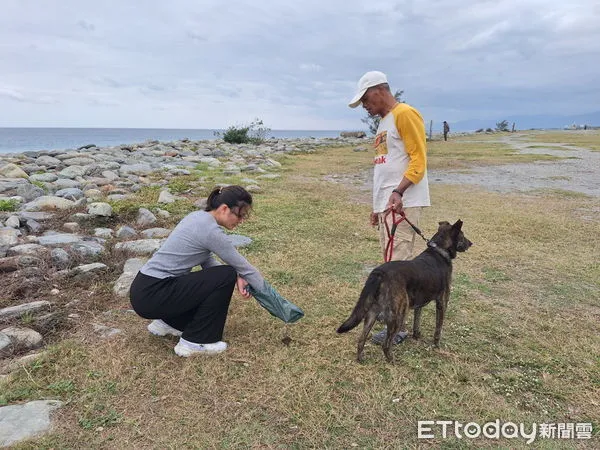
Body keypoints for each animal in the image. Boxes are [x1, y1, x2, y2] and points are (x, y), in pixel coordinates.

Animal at [338, 219, 474, 362]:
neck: (439, 250)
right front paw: (437, 346)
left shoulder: (419, 304)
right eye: (462, 236)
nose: (471, 243)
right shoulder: (442, 303)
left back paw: (360, 359)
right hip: (399, 314)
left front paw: (417, 336)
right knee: (386, 344)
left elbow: (416, 322)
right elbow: (438, 329)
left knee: (361, 339)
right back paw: (392, 361)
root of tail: (380, 272)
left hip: (372, 312)